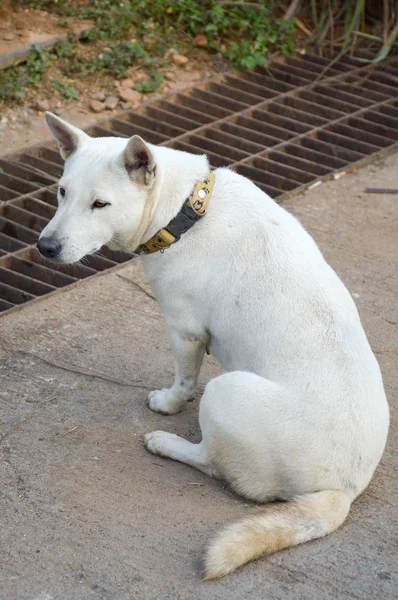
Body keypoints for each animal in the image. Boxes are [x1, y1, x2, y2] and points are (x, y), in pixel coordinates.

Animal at [39, 111, 388, 576]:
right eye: (62, 192)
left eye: (100, 205)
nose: (44, 247)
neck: (187, 210)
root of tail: (341, 490)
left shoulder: (184, 331)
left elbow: (184, 382)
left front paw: (168, 403)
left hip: (226, 391)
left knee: (211, 463)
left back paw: (166, 444)